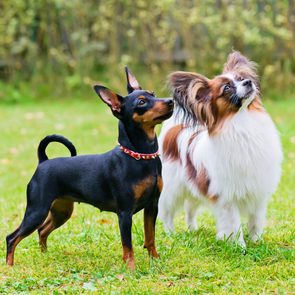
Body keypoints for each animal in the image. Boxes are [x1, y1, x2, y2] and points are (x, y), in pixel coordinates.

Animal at [5, 67, 175, 270]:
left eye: (153, 94)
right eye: (141, 102)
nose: (171, 101)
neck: (140, 157)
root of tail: (43, 162)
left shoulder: (152, 206)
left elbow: (150, 237)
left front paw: (155, 260)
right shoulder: (125, 213)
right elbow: (128, 245)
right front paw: (131, 269)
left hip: (61, 211)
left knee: (42, 230)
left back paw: (44, 255)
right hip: (37, 210)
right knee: (12, 237)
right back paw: (10, 265)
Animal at [158, 52, 284, 246]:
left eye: (241, 78)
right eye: (227, 88)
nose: (248, 82)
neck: (242, 121)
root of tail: (174, 129)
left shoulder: (258, 194)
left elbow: (255, 221)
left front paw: (257, 242)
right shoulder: (227, 198)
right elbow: (234, 224)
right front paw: (240, 246)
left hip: (195, 187)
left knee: (190, 209)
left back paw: (192, 229)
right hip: (172, 189)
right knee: (167, 213)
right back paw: (171, 233)